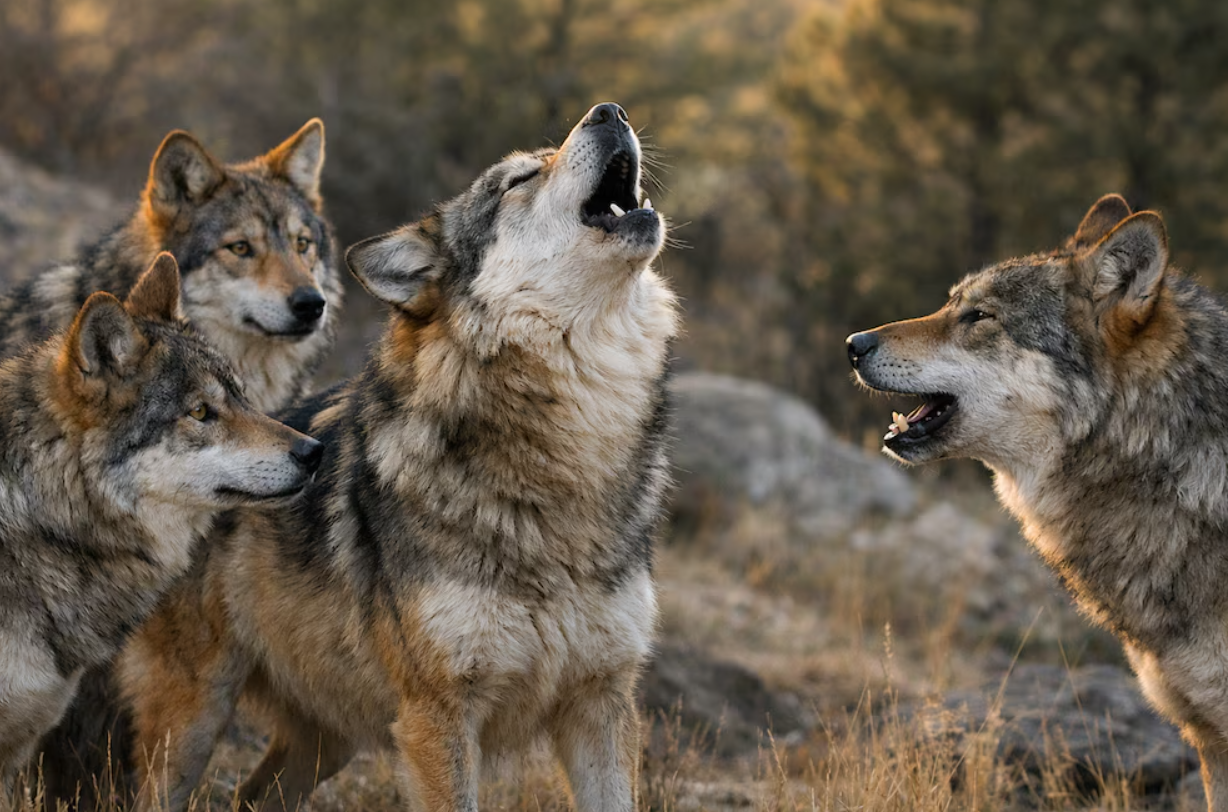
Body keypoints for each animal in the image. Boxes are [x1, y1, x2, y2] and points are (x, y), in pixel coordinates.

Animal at [120, 102, 677, 812]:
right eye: (520, 179)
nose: (610, 111)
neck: (573, 448)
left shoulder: (603, 703)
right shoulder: (438, 715)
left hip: (327, 743)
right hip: (193, 719)